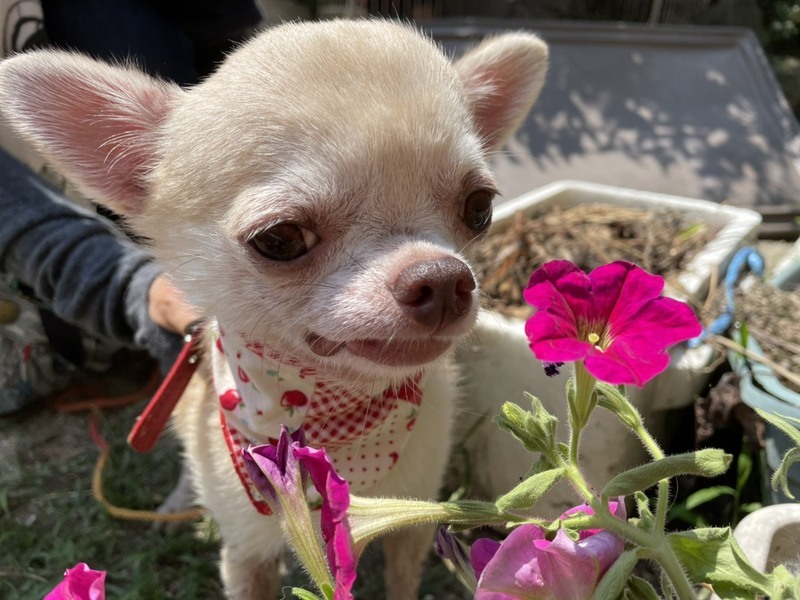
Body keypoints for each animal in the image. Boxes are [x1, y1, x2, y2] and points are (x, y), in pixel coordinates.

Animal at [0, 19, 547, 599]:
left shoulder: (415, 526)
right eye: (280, 239)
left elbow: (403, 579)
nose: (442, 279)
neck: (325, 411)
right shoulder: (246, 557)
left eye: (480, 208)